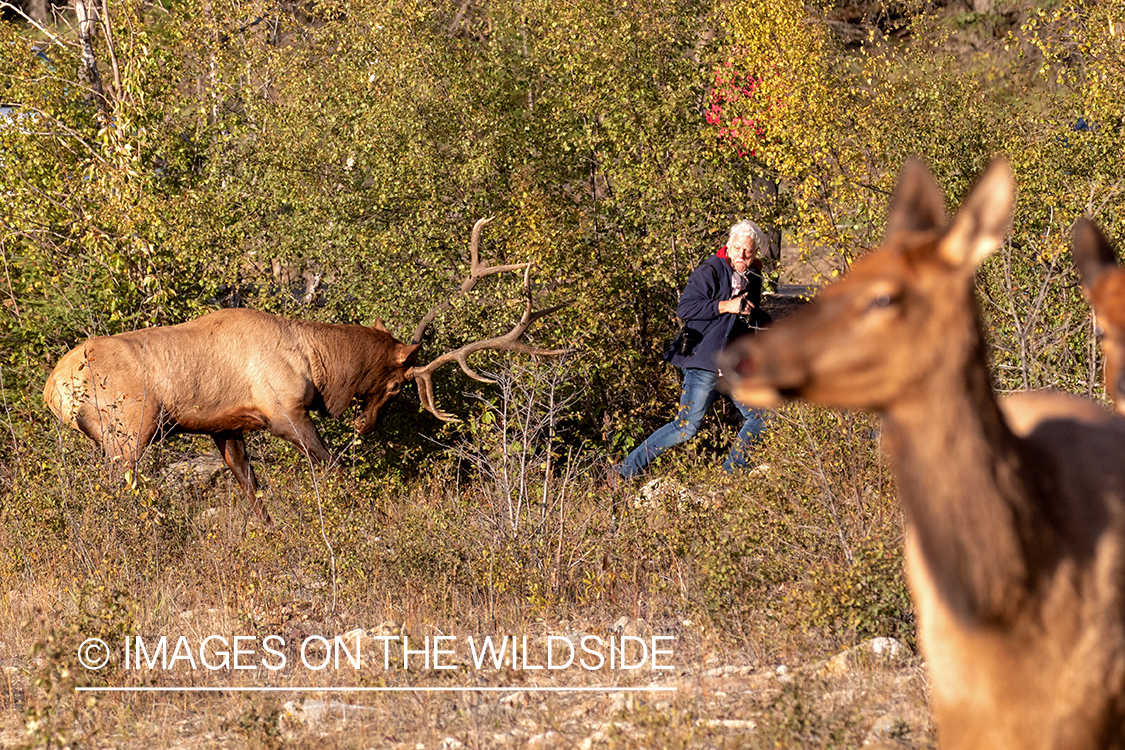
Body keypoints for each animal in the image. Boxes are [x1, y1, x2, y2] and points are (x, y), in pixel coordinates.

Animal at [43, 217, 567, 528]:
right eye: (398, 385)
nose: (365, 425)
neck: (317, 364)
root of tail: (54, 389)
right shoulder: (285, 412)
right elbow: (332, 467)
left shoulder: (227, 426)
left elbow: (253, 490)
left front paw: (269, 532)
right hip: (129, 430)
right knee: (118, 487)